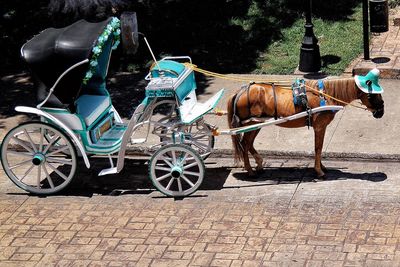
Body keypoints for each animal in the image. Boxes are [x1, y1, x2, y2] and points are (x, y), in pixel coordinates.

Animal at [227, 77, 382, 178]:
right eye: (371, 95)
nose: (381, 112)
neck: (325, 95)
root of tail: (239, 92)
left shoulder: (320, 127)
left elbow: (319, 147)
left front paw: (322, 167)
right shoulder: (319, 126)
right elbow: (318, 148)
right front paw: (319, 171)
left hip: (256, 125)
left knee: (248, 144)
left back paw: (258, 165)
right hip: (251, 124)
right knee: (245, 144)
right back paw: (250, 170)